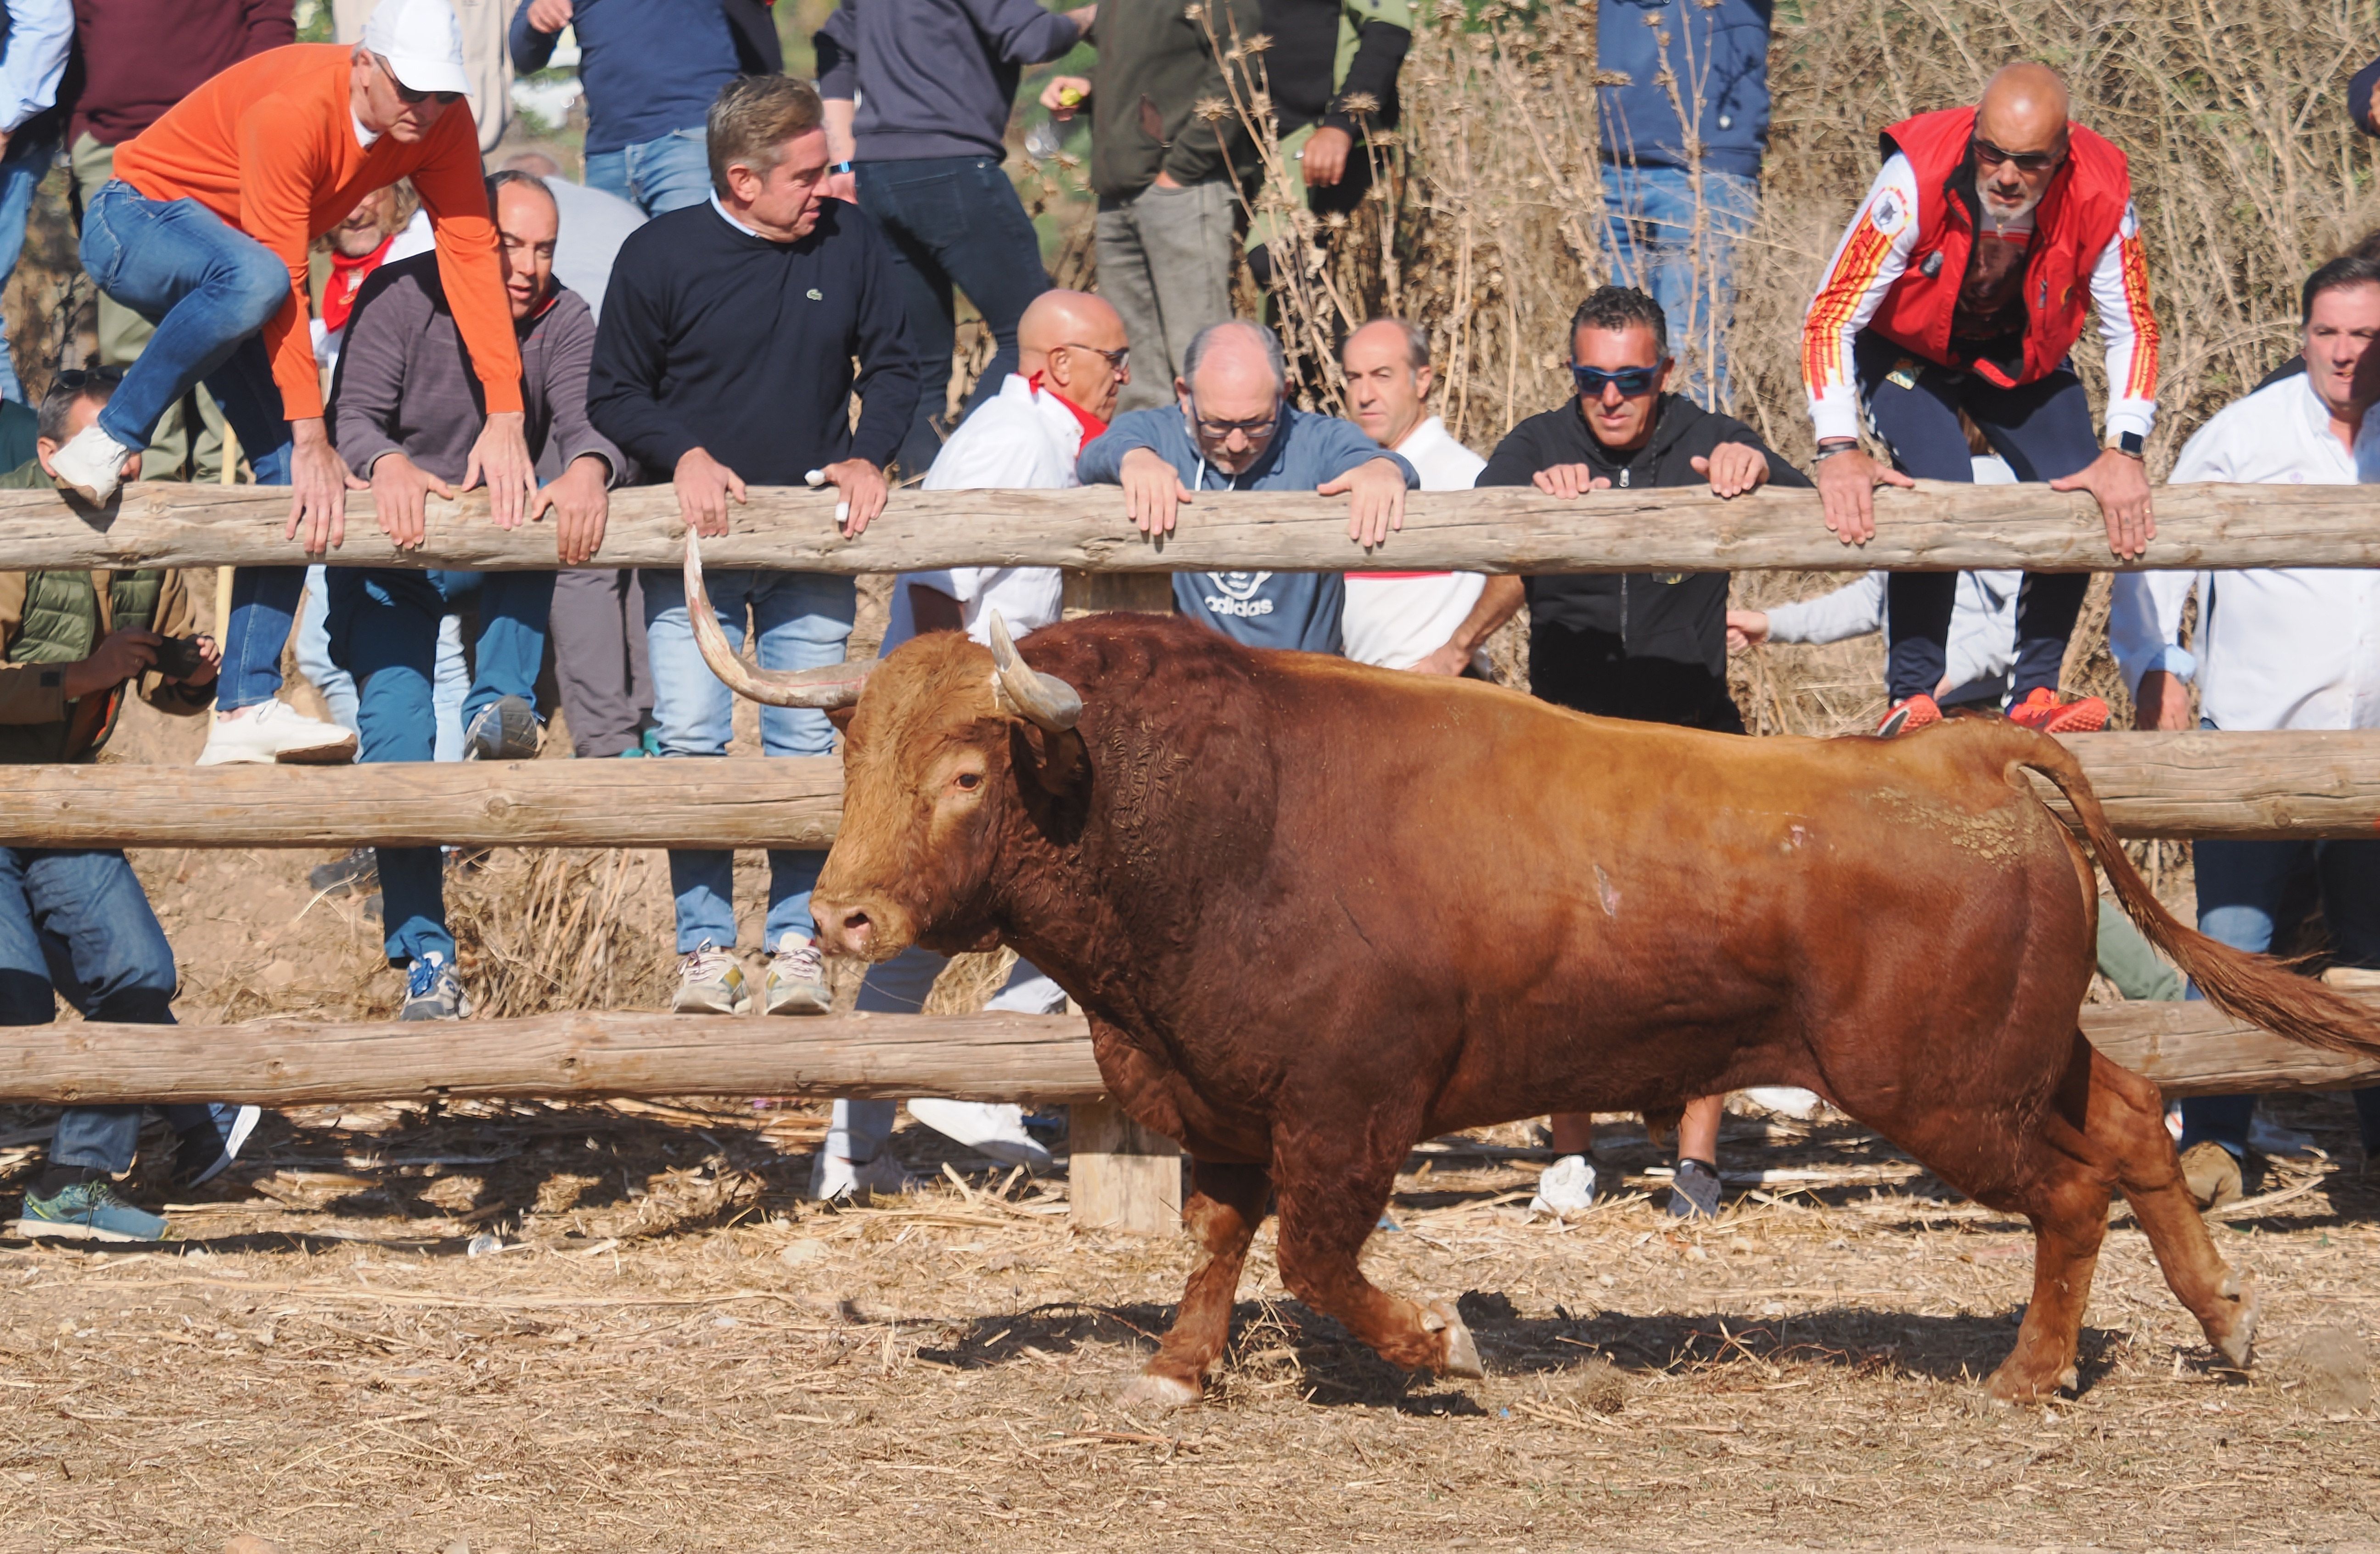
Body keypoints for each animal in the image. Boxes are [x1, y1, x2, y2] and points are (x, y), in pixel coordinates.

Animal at [685, 533, 2380, 1408]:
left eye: (967, 775)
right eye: (852, 757)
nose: (842, 920)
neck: (1208, 817)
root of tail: (1972, 748)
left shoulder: (1351, 1107)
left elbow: (1314, 1258)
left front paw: (1448, 1340)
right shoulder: (1220, 1098)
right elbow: (1218, 1240)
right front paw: (1175, 1370)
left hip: (1942, 1085)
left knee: (2075, 1188)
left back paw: (2031, 1375)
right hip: (2018, 1057)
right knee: (2139, 1123)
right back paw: (2223, 1323)